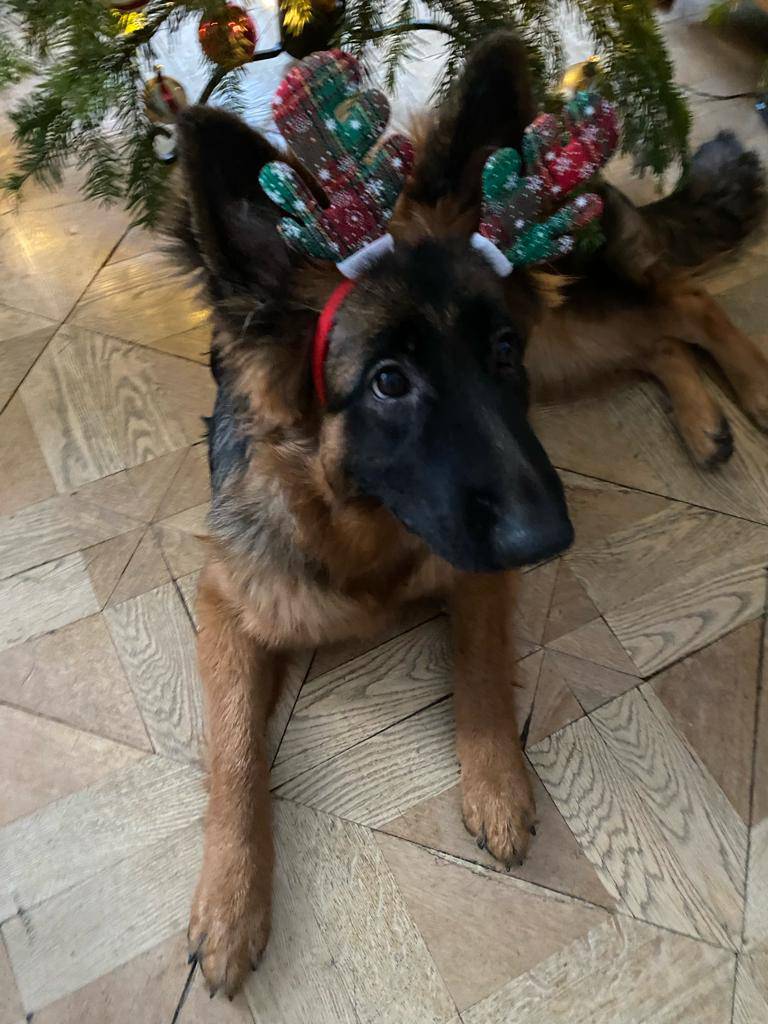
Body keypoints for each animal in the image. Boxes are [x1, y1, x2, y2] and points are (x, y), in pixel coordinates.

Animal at [170, 31, 767, 996]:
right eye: (388, 381)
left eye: (499, 351)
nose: (549, 540)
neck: (363, 527)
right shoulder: (229, 602)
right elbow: (233, 753)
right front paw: (229, 905)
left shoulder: (481, 562)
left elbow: (484, 668)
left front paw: (497, 787)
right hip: (567, 357)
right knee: (659, 335)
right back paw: (704, 416)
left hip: (561, 339)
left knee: (681, 304)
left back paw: (748, 390)